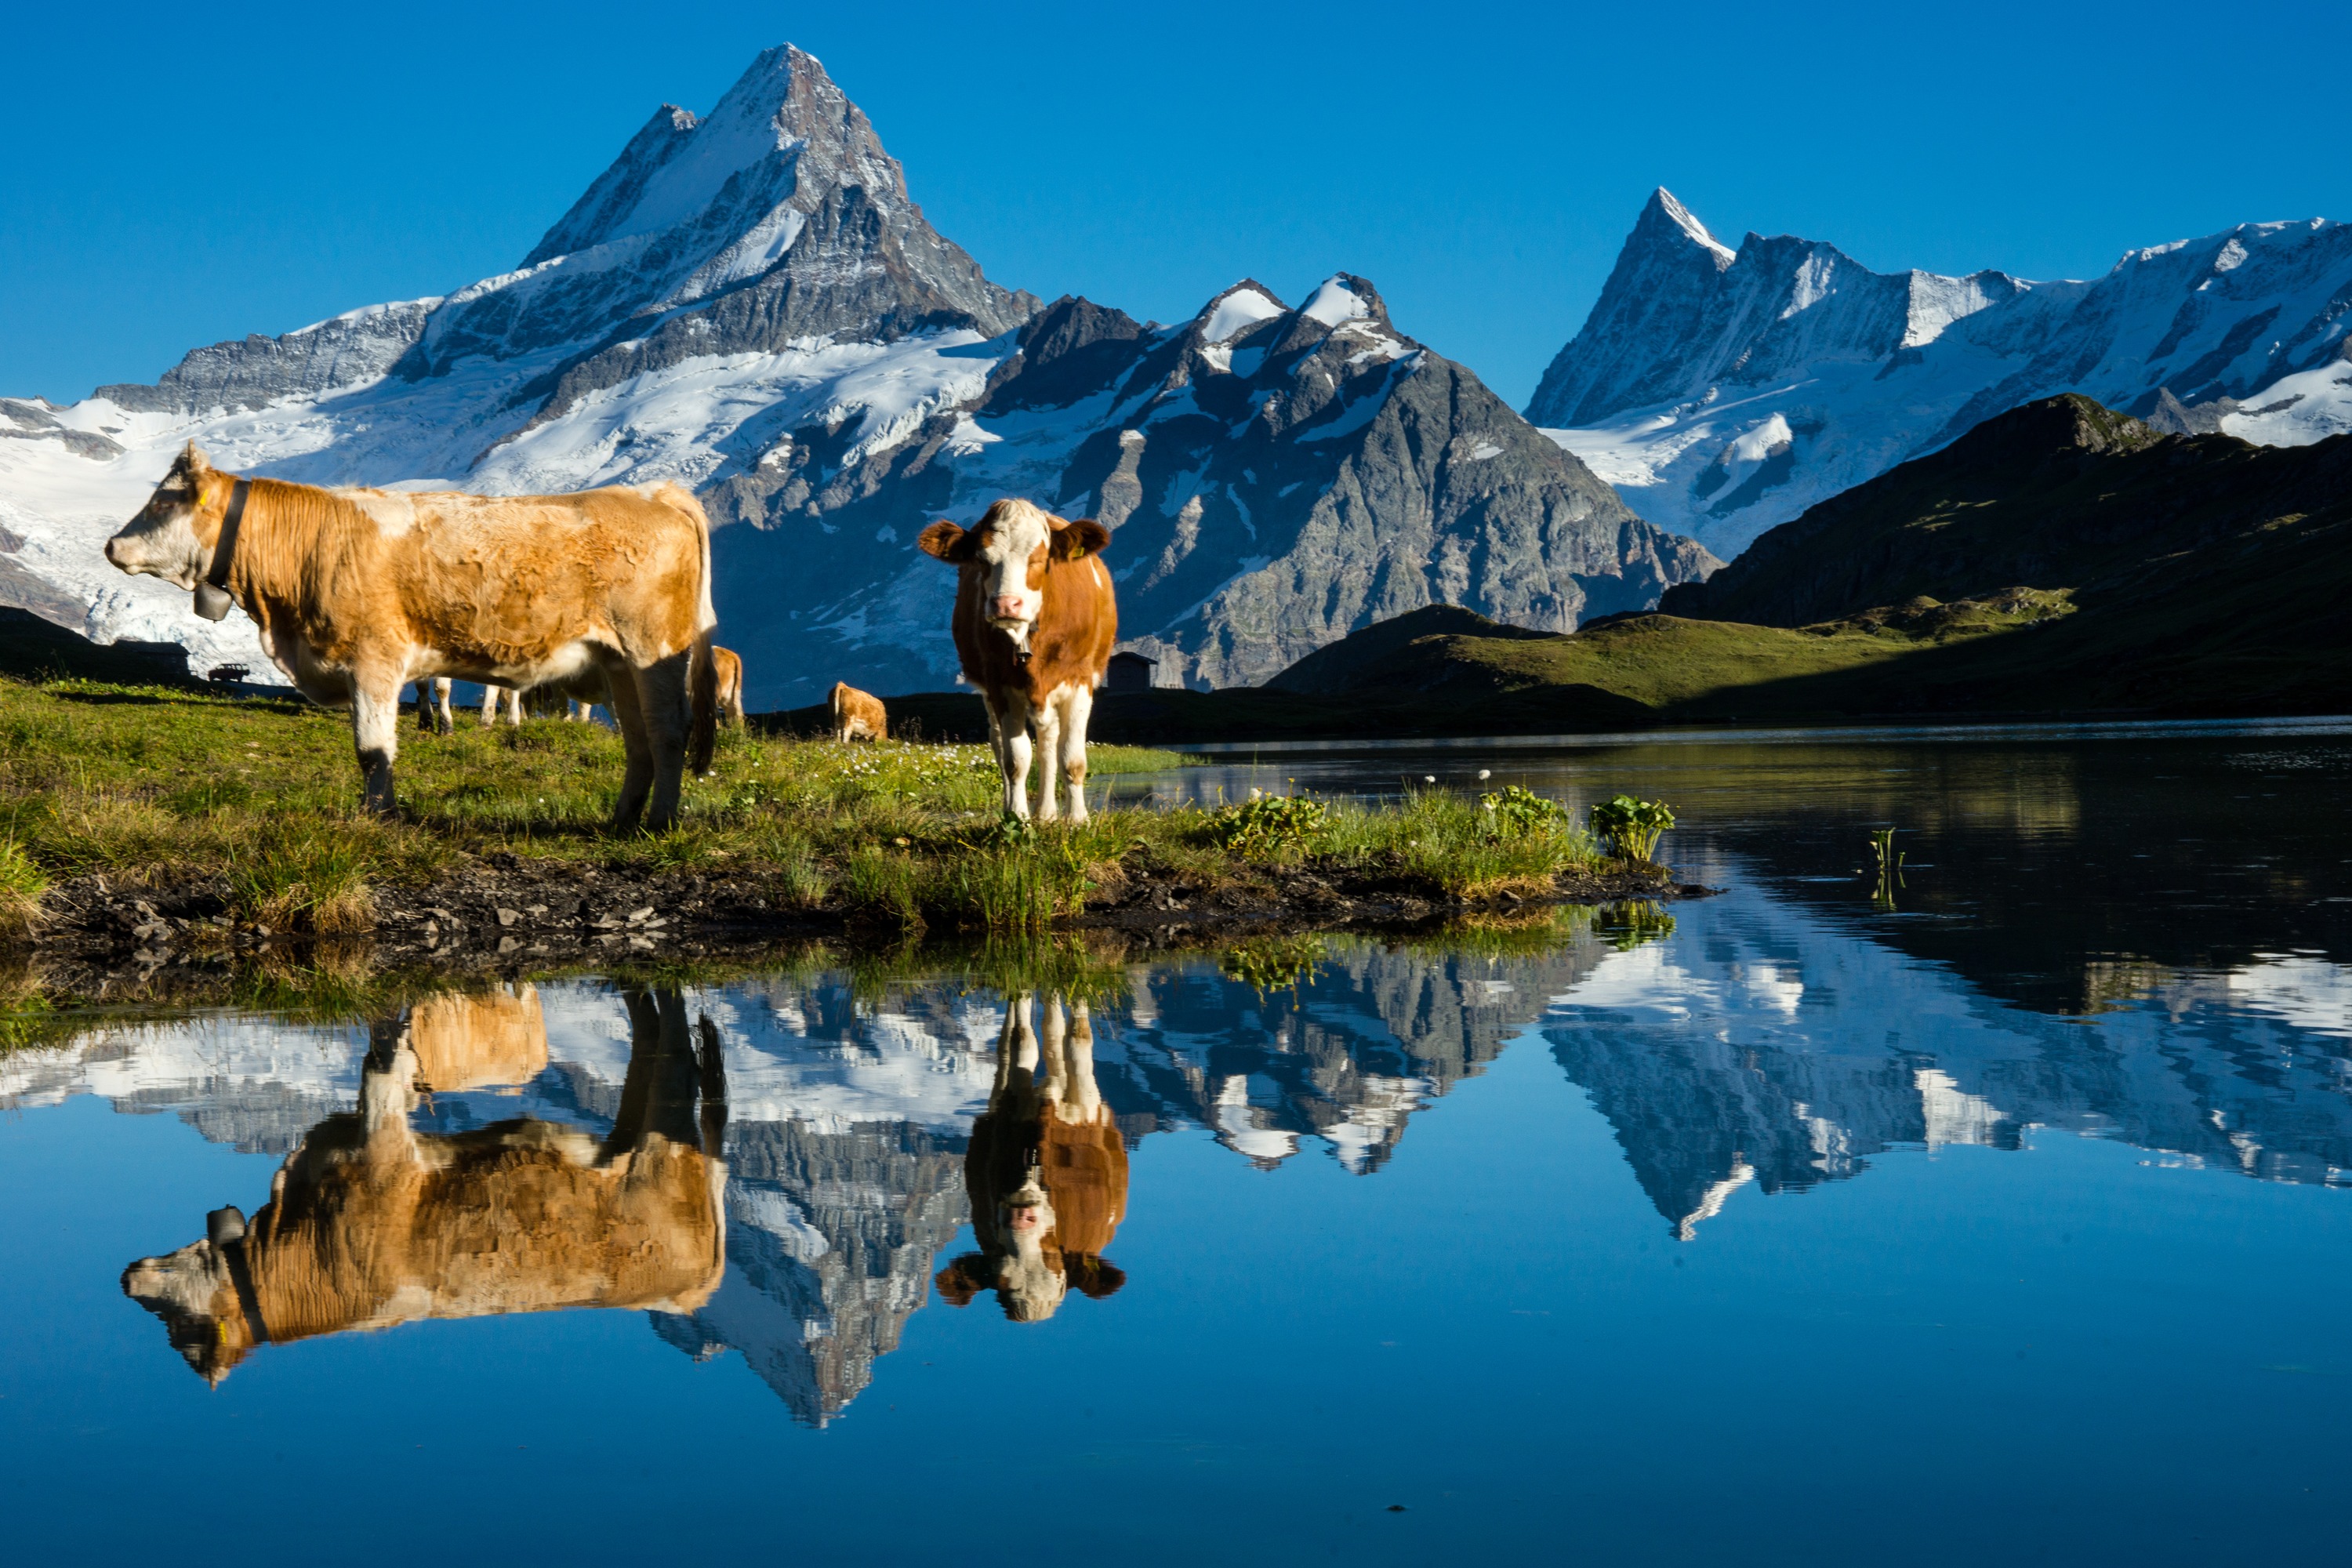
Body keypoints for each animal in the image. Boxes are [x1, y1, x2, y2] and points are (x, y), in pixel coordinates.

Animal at [101, 444, 720, 832]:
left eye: (163, 501)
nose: (112, 545)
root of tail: (652, 493)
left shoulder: (373, 661)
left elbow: (373, 751)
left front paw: (377, 817)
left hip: (654, 651)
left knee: (669, 732)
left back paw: (660, 821)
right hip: (619, 664)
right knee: (638, 741)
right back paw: (622, 818)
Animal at [119, 987, 720, 1382]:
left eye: (181, 1330)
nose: (125, 1280)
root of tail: (693, 1290)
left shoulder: (382, 1137)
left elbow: (380, 1060)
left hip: (660, 1149)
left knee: (675, 1051)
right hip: (632, 1131)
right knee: (648, 1037)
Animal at [913, 503, 1115, 827]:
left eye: (1040, 559)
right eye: (982, 560)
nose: (1006, 604)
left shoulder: (1080, 680)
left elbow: (1071, 758)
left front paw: (1077, 820)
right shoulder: (1000, 686)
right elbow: (1015, 760)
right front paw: (1018, 817)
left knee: (1048, 745)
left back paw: (1047, 813)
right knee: (1000, 745)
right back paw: (1023, 809)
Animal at [931, 992, 1124, 1326]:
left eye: (1056, 1262)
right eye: (999, 1280)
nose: (1022, 1217)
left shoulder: (1087, 1106)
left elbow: (1078, 1041)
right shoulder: (1011, 1105)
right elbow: (1021, 1041)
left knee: (1057, 1033)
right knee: (1023, 1036)